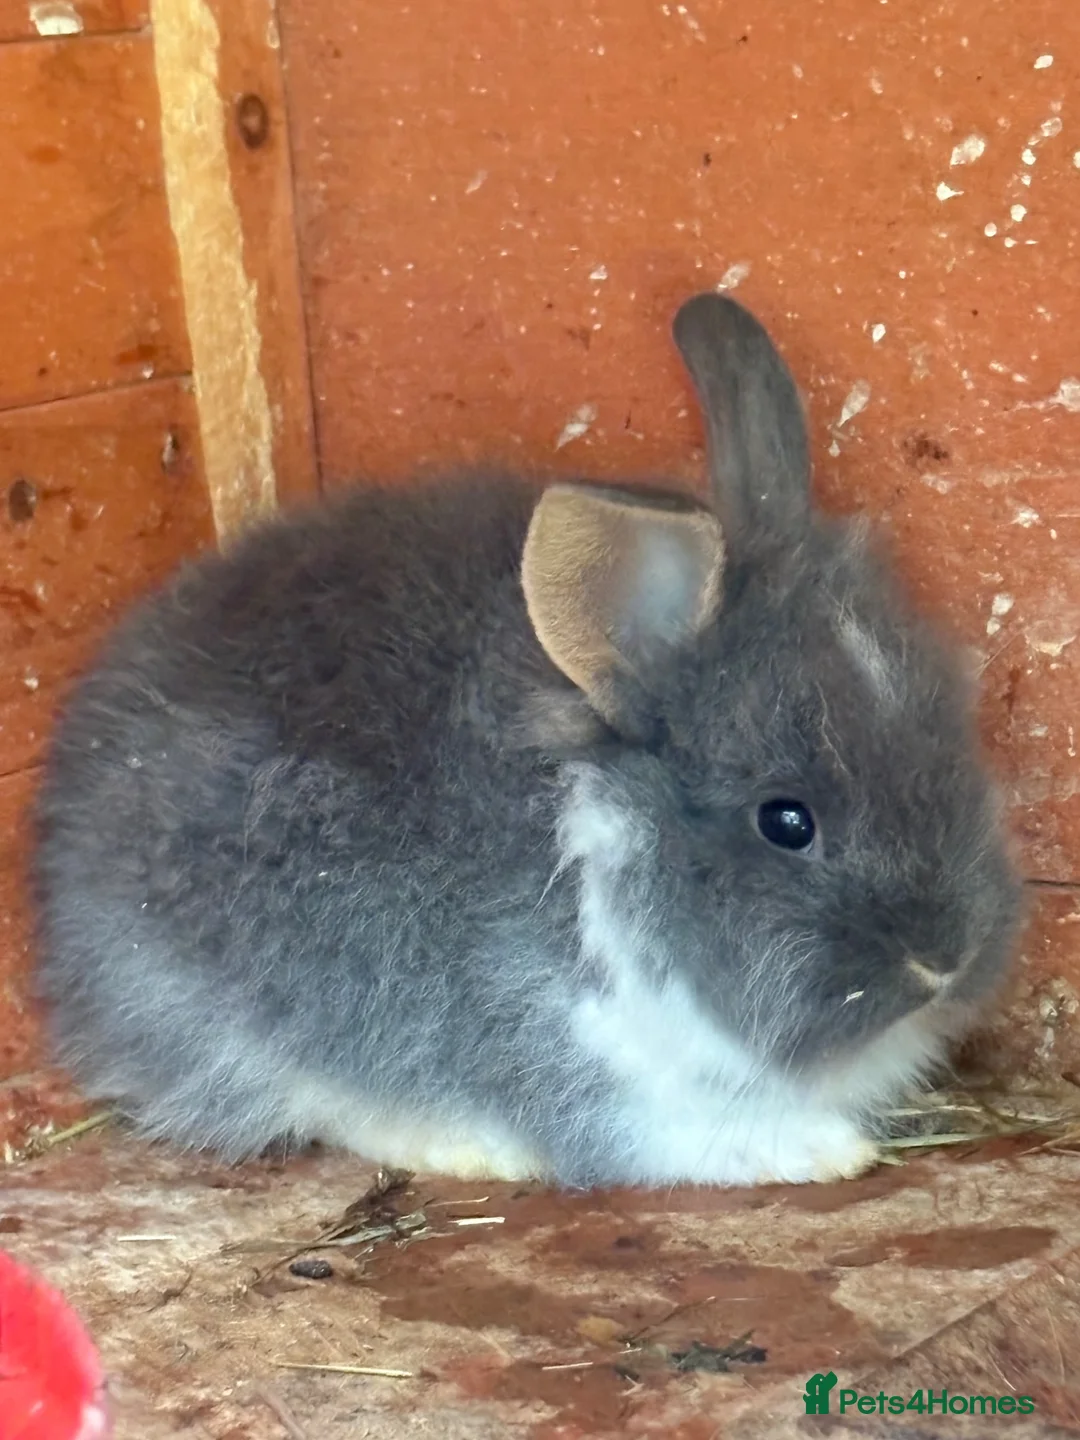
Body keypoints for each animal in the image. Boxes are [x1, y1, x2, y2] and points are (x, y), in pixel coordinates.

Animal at [31, 293, 1022, 1189]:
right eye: (786, 822)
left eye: (954, 738)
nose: (945, 959)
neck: (608, 828)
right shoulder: (564, 1049)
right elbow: (665, 1137)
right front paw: (829, 1151)